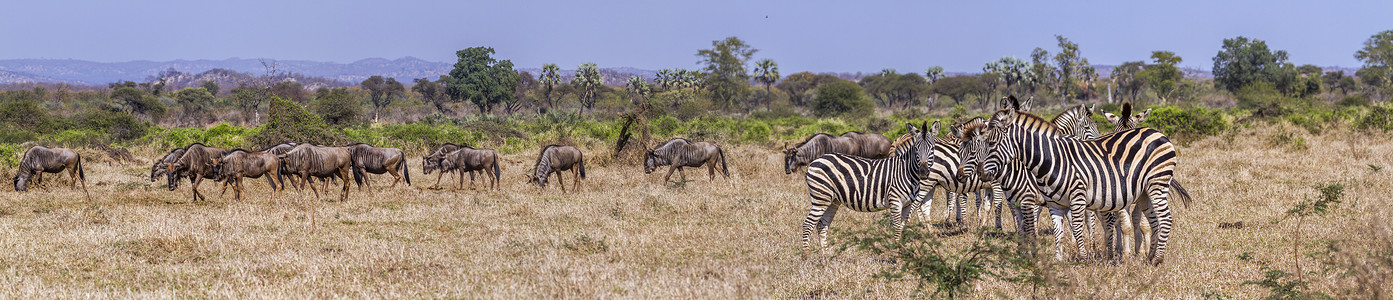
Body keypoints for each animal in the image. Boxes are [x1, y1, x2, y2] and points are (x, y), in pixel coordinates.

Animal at [802, 121, 941, 255]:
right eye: (916, 149)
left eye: (933, 148)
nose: (923, 172)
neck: (906, 171)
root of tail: (816, 160)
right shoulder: (895, 201)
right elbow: (897, 228)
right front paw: (898, 253)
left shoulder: (908, 204)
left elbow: (902, 228)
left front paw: (904, 251)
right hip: (821, 197)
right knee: (807, 225)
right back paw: (806, 257)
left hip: (832, 200)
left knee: (822, 225)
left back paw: (826, 258)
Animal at [963, 108, 1192, 265]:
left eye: (991, 144)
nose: (980, 173)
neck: (1050, 160)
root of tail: (1158, 133)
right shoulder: (1053, 204)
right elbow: (1057, 232)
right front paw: (1057, 260)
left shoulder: (1075, 198)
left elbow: (1076, 228)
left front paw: (1083, 258)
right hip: (1144, 192)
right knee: (1153, 221)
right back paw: (1149, 256)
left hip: (1156, 184)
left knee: (1164, 218)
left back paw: (1156, 259)